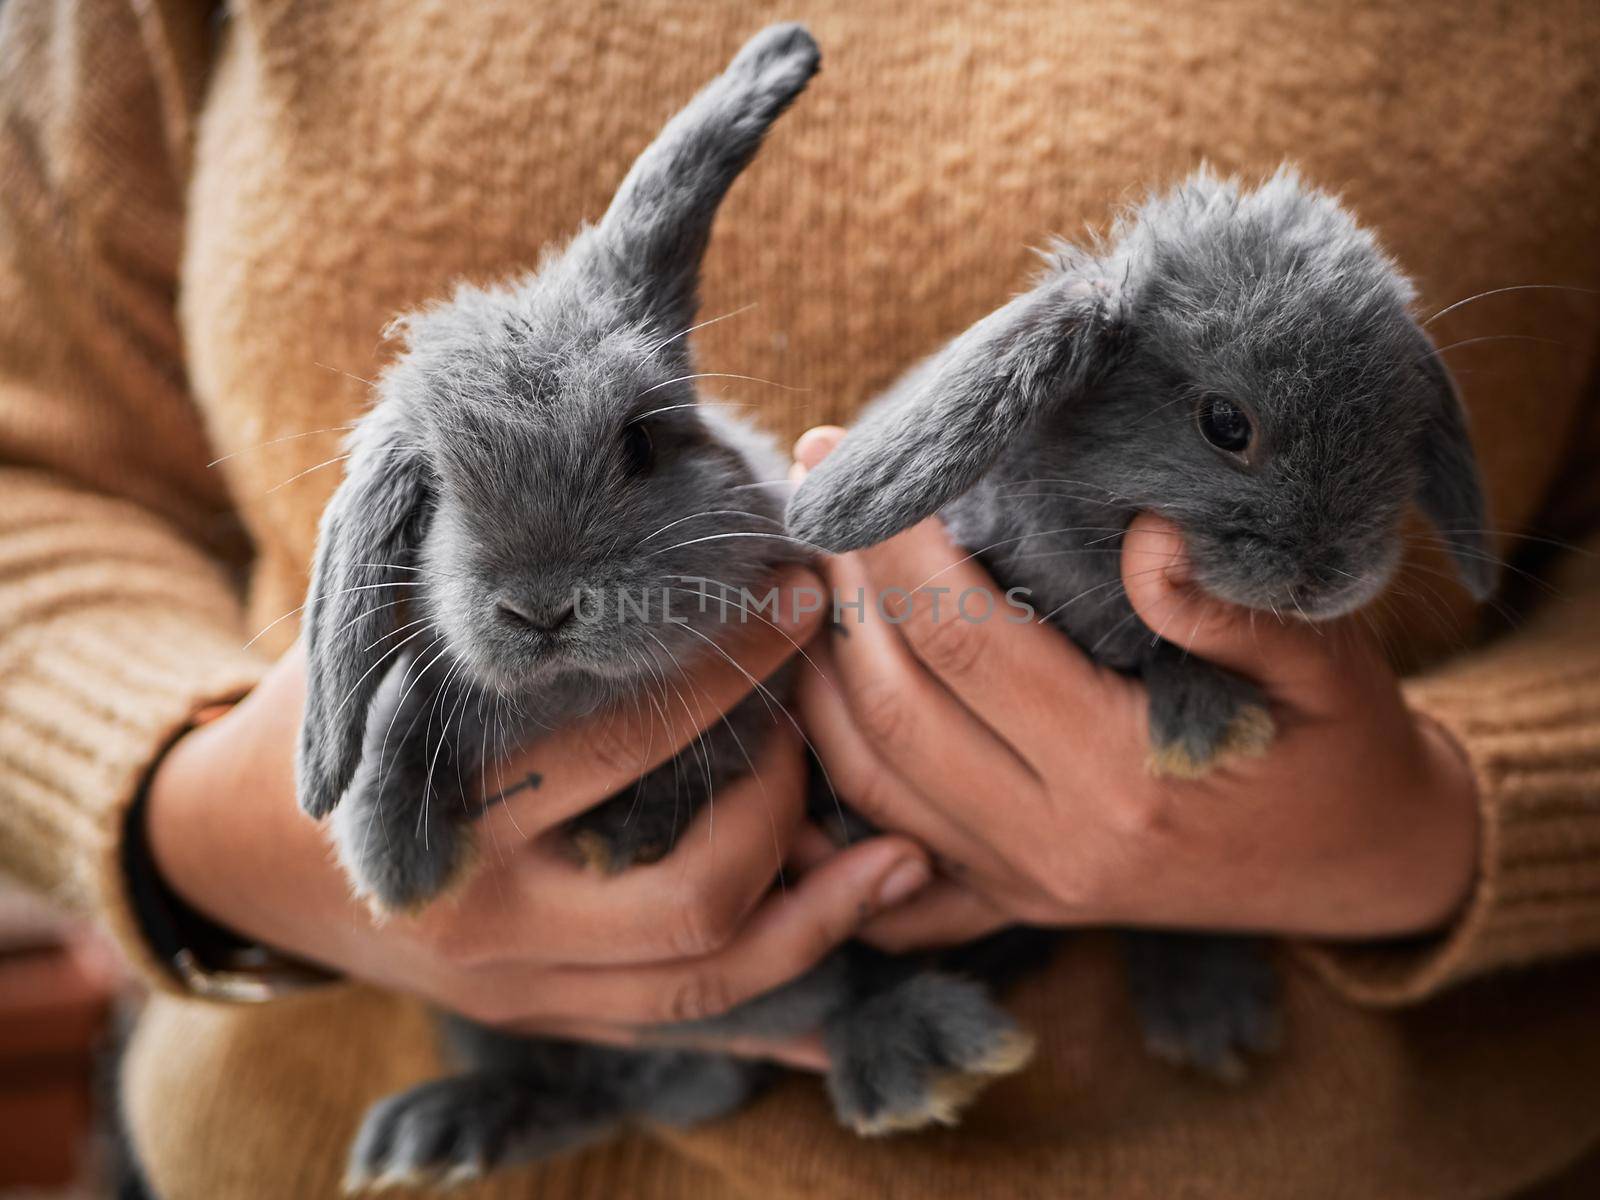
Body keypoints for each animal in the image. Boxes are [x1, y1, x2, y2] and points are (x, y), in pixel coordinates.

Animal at [299, 28, 1036, 1196]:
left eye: (639, 444)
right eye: (435, 496)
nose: (540, 606)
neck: (574, 694)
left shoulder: (770, 687)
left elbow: (718, 750)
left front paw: (628, 834)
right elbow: (405, 713)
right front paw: (396, 865)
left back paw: (912, 1059)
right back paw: (440, 1132)